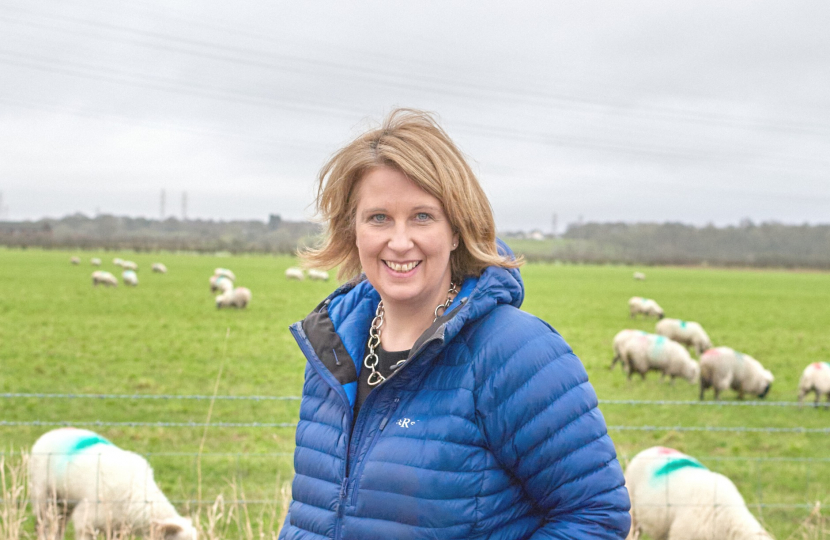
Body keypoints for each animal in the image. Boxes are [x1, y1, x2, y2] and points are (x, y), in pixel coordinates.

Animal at [28, 428, 198, 540]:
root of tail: (53, 431)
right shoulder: (85, 522)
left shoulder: (117, 527)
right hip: (41, 494)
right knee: (42, 525)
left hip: (65, 501)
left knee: (60, 525)